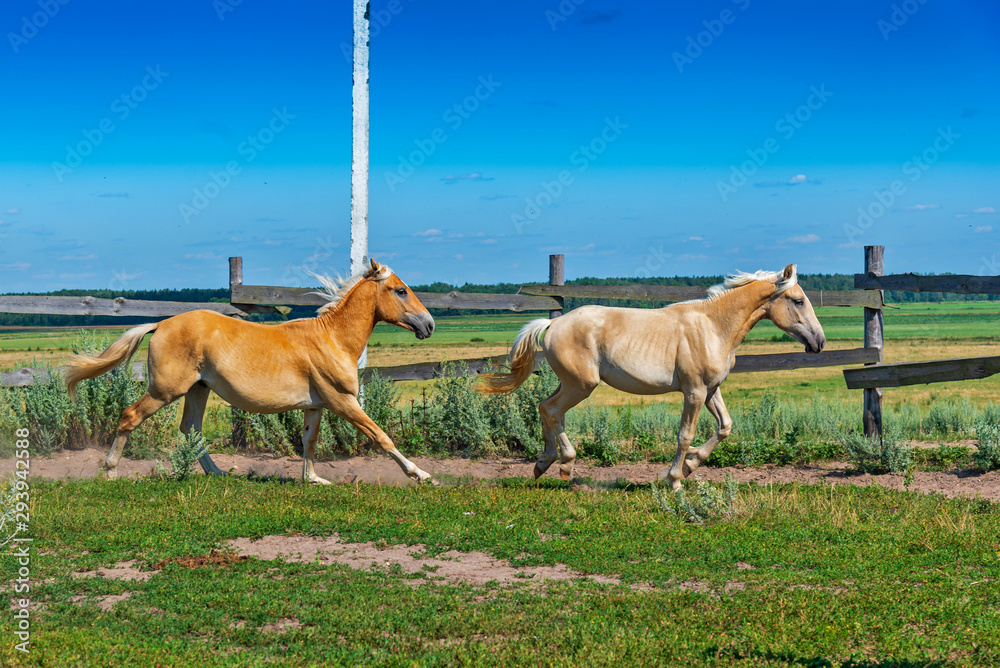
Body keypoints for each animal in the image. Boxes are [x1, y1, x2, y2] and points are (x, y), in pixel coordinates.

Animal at [63, 259, 439, 485]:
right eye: (401, 290)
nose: (430, 325)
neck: (332, 338)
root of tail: (161, 324)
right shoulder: (341, 400)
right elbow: (381, 436)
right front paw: (421, 474)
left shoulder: (316, 405)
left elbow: (309, 440)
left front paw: (314, 480)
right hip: (166, 390)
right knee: (130, 416)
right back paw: (110, 472)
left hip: (199, 389)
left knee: (191, 429)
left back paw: (219, 473)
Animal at [478, 264, 825, 489]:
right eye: (798, 300)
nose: (819, 342)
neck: (713, 327)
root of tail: (551, 325)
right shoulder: (694, 392)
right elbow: (685, 435)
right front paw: (674, 480)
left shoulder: (711, 390)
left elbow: (725, 427)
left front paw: (691, 465)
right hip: (582, 385)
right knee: (551, 410)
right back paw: (564, 464)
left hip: (570, 383)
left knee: (545, 408)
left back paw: (543, 463)